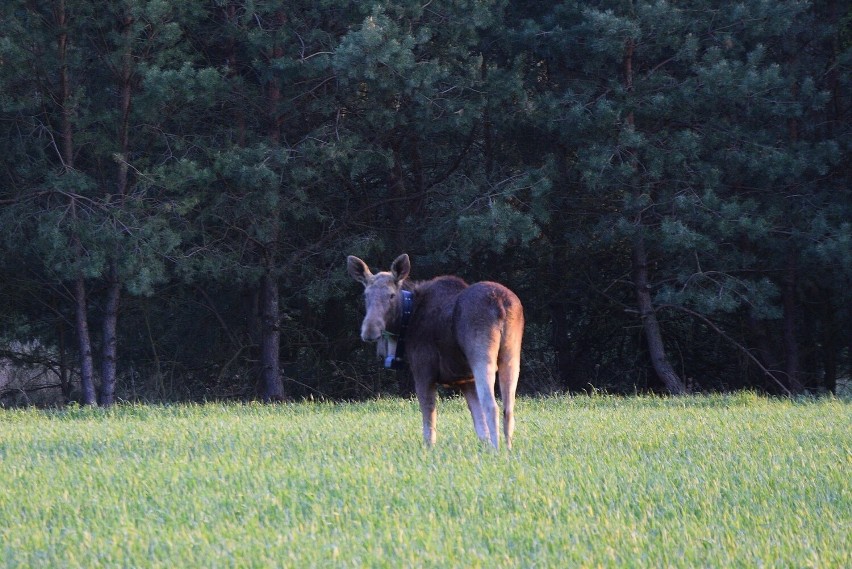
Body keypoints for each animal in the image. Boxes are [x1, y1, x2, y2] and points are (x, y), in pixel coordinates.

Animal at [348, 254, 524, 448]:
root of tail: (501, 305)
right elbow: (479, 425)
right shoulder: (466, 380)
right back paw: (507, 448)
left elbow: (429, 419)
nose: (369, 331)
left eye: (391, 295)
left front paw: (429, 449)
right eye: (366, 295)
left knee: (492, 406)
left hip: (482, 355)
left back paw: (497, 449)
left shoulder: (423, 371)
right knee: (509, 408)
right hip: (511, 355)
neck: (406, 321)